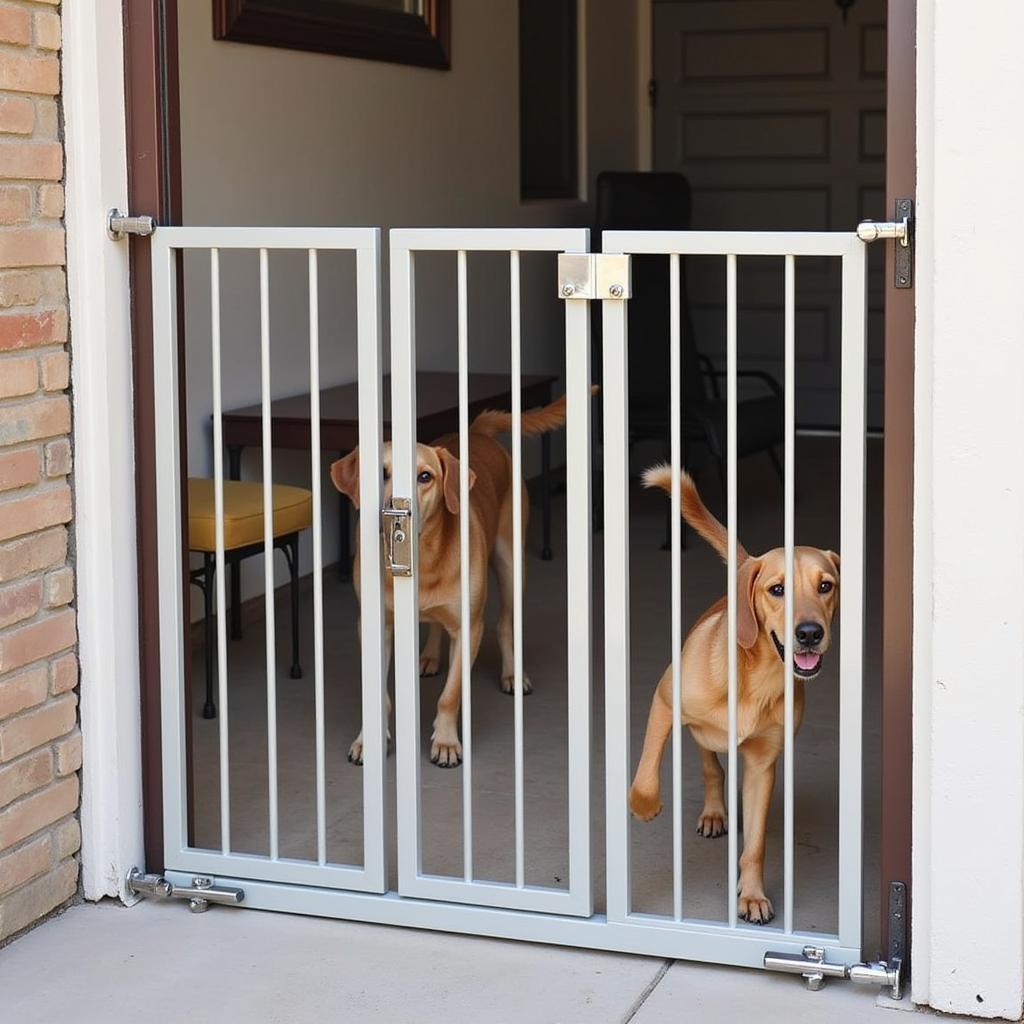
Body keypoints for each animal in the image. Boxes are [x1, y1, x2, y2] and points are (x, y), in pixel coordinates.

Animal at [331, 391, 573, 770]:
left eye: (425, 476)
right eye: (379, 474)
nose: (394, 510)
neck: (424, 558)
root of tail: (477, 432)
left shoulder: (468, 629)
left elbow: (451, 693)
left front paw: (445, 742)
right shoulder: (375, 626)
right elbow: (379, 695)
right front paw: (369, 741)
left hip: (511, 565)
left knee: (505, 624)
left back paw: (512, 674)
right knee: (433, 623)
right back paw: (429, 656)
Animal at [630, 468, 839, 925]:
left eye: (826, 586)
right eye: (777, 590)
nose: (810, 633)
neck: (756, 679)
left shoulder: (763, 765)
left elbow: (756, 846)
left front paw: (753, 896)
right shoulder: (664, 701)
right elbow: (648, 766)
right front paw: (644, 804)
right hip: (697, 731)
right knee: (711, 767)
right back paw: (712, 811)